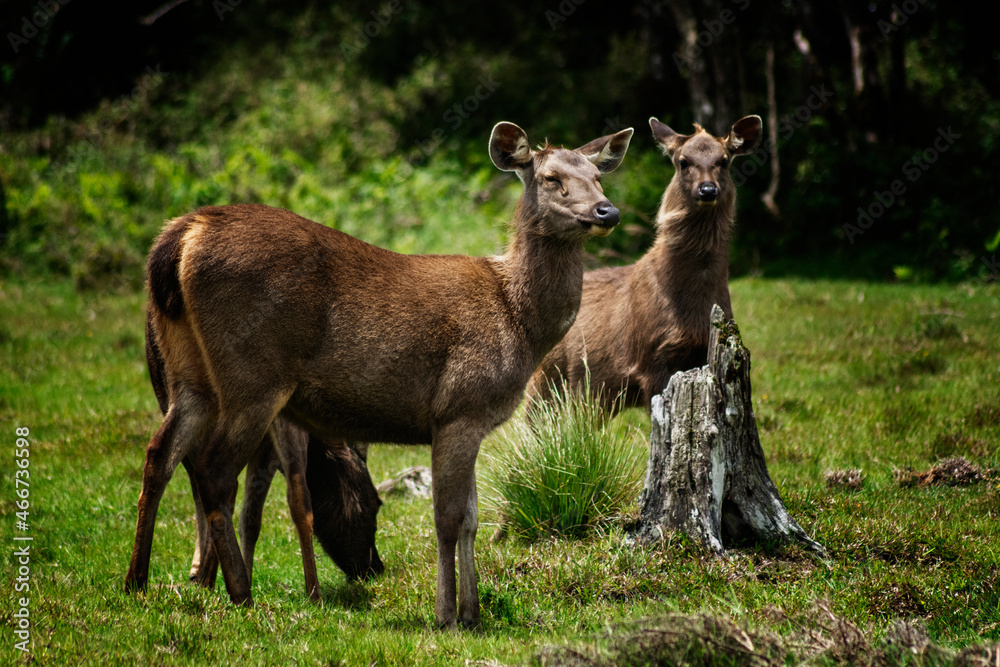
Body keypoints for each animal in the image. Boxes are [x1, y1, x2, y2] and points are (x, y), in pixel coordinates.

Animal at [528, 115, 762, 413]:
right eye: (683, 161)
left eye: (724, 160)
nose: (708, 189)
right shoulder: (652, 359)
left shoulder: (704, 352)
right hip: (543, 379)